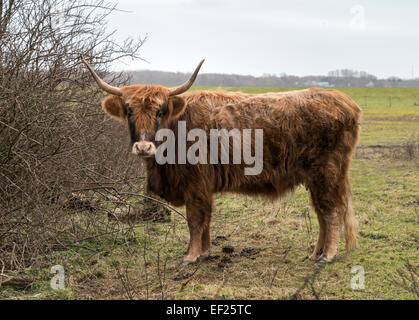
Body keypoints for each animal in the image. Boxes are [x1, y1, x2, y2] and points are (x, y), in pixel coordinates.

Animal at [81, 57, 360, 264]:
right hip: (317, 178)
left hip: (327, 173)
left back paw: (328, 255)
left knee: (331, 212)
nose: (143, 146)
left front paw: (191, 256)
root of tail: (345, 102)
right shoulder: (204, 186)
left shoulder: (195, 184)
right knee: (322, 213)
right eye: (129, 111)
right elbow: (205, 220)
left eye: (159, 111)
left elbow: (195, 219)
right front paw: (204, 253)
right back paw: (315, 253)